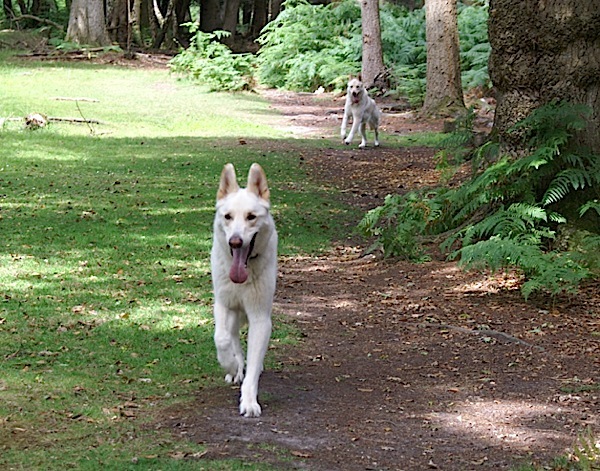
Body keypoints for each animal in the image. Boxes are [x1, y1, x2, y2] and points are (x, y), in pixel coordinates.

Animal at [210, 163, 278, 418]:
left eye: (251, 217)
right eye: (228, 217)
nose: (235, 242)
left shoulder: (260, 318)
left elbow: (254, 364)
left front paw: (249, 401)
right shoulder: (223, 304)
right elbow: (221, 339)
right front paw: (231, 365)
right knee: (231, 337)